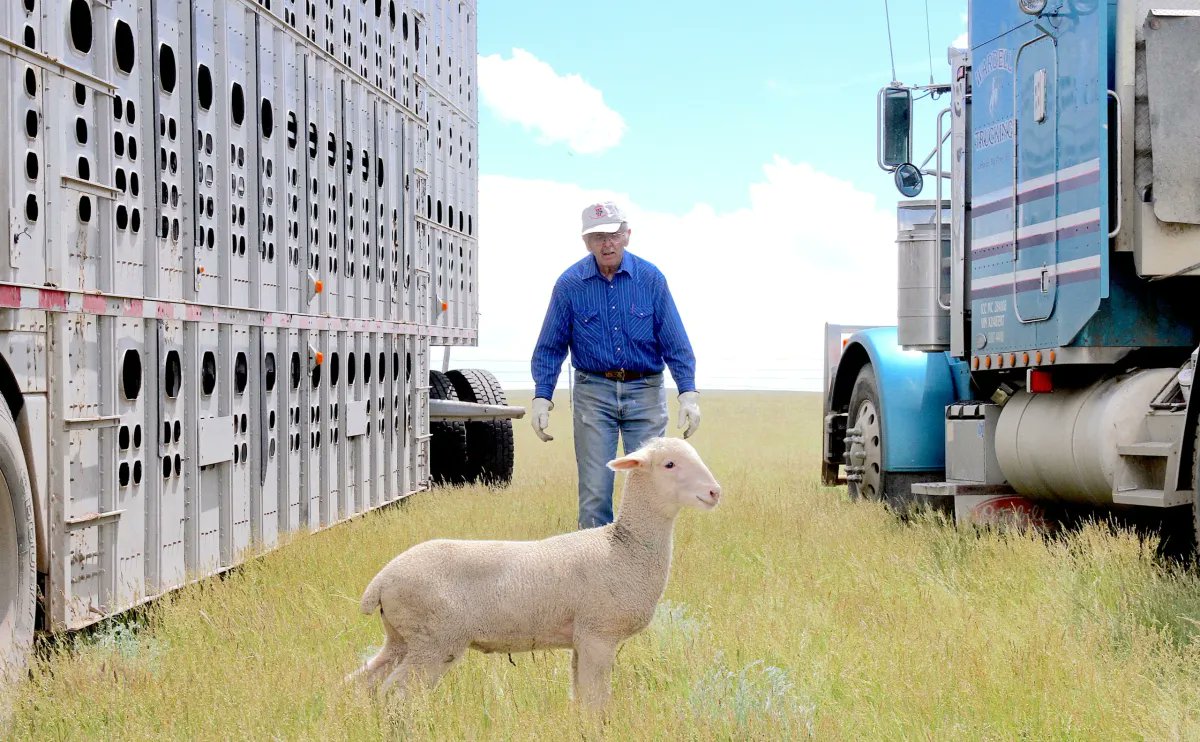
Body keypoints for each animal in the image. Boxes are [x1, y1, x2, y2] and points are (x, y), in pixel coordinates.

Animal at [346, 436, 722, 710]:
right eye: (669, 464)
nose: (715, 492)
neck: (623, 547)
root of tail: (380, 581)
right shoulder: (598, 635)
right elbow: (596, 701)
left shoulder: (581, 639)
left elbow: (581, 697)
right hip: (434, 640)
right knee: (396, 693)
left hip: (401, 637)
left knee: (361, 682)